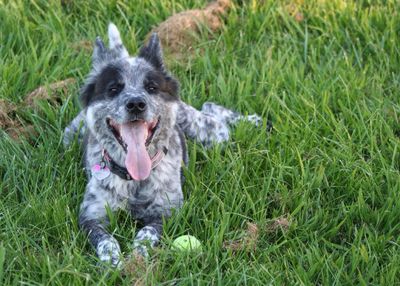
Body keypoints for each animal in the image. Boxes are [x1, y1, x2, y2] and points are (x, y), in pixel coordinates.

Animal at [64, 23, 260, 268]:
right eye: (113, 89)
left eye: (152, 87)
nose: (136, 103)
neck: (135, 180)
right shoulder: (91, 215)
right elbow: (106, 239)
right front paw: (113, 261)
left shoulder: (167, 212)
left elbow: (146, 233)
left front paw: (138, 257)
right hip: (69, 135)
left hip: (211, 133)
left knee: (212, 110)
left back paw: (252, 121)